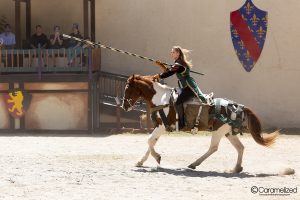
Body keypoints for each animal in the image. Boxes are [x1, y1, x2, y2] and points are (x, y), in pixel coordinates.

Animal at [120, 74, 278, 173]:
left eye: (127, 88)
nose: (124, 106)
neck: (161, 98)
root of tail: (239, 106)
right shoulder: (159, 126)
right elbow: (151, 142)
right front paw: (141, 161)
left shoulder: (161, 126)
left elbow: (149, 141)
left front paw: (157, 157)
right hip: (228, 132)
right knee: (240, 148)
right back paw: (236, 168)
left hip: (218, 131)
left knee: (213, 148)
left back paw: (194, 164)